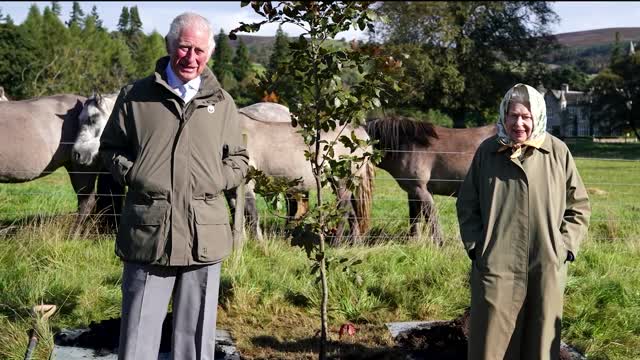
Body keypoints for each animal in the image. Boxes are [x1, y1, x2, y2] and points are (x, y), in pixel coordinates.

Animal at [364, 116, 496, 245]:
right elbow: (415, 217)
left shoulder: (420, 189)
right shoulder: (413, 192)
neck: (408, 146)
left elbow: (431, 217)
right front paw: (414, 241)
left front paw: (439, 243)